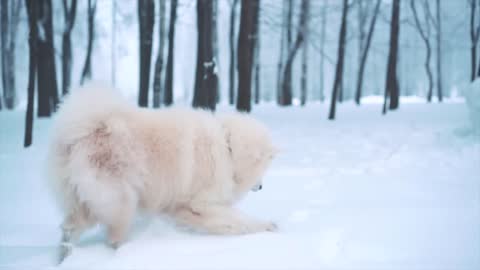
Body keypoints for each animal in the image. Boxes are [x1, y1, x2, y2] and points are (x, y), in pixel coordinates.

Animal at [48, 84, 278, 262]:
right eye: (263, 168)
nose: (261, 186)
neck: (227, 147)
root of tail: (81, 133)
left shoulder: (184, 205)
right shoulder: (202, 203)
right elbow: (236, 219)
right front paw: (267, 226)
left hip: (85, 201)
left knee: (69, 229)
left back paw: (65, 256)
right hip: (120, 199)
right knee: (113, 236)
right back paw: (122, 253)